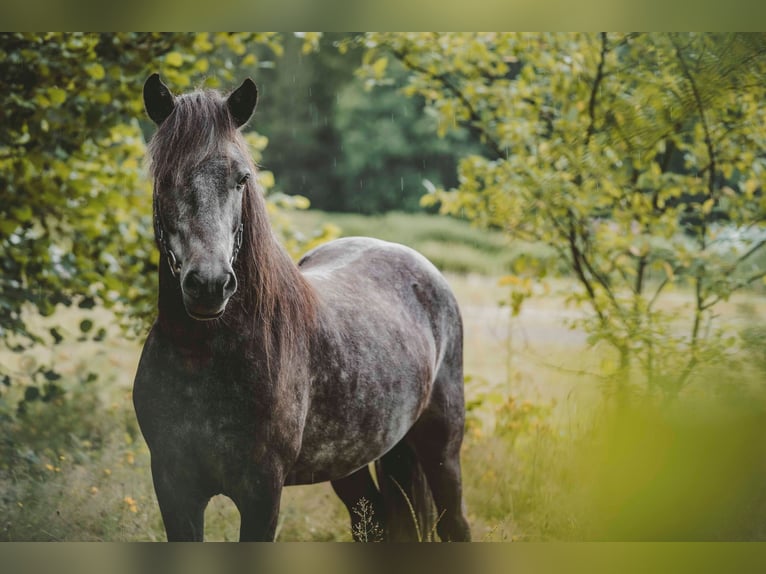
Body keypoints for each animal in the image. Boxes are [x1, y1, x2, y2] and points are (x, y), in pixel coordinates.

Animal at [133, 74, 472, 544]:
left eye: (241, 178)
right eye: (165, 177)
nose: (210, 285)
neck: (201, 356)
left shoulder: (262, 493)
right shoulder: (173, 488)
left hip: (442, 451)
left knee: (456, 524)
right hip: (352, 463)